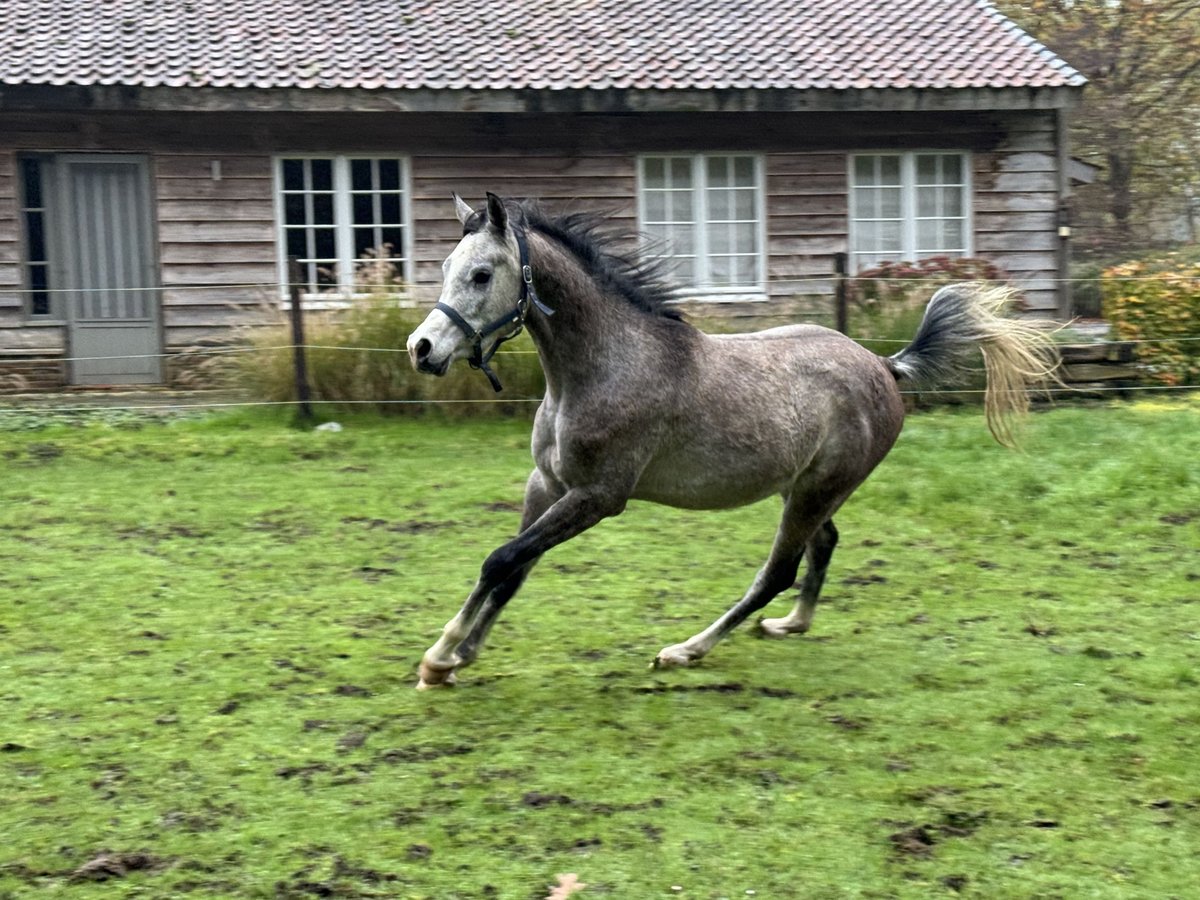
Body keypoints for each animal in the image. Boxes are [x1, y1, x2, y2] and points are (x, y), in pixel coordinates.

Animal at [408, 194, 1056, 691]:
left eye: (482, 275)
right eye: (445, 267)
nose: (422, 349)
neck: (604, 366)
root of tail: (885, 365)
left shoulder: (599, 496)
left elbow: (502, 559)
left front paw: (439, 658)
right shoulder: (546, 484)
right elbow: (513, 567)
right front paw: (461, 657)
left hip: (817, 489)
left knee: (778, 571)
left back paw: (684, 650)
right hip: (804, 488)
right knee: (822, 547)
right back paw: (790, 625)